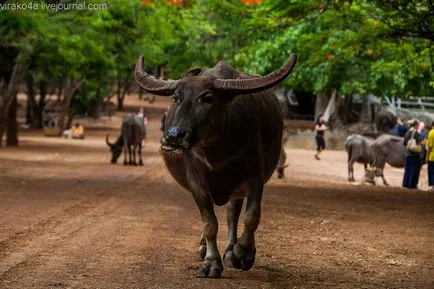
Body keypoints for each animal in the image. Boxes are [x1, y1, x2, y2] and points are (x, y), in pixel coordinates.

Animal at [135, 54, 298, 276]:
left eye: (208, 98)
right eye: (176, 97)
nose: (174, 136)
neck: (217, 152)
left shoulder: (255, 178)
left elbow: (251, 216)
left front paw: (243, 252)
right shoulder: (197, 184)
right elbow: (209, 223)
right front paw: (211, 263)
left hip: (238, 189)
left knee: (232, 214)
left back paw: (230, 251)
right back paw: (205, 248)